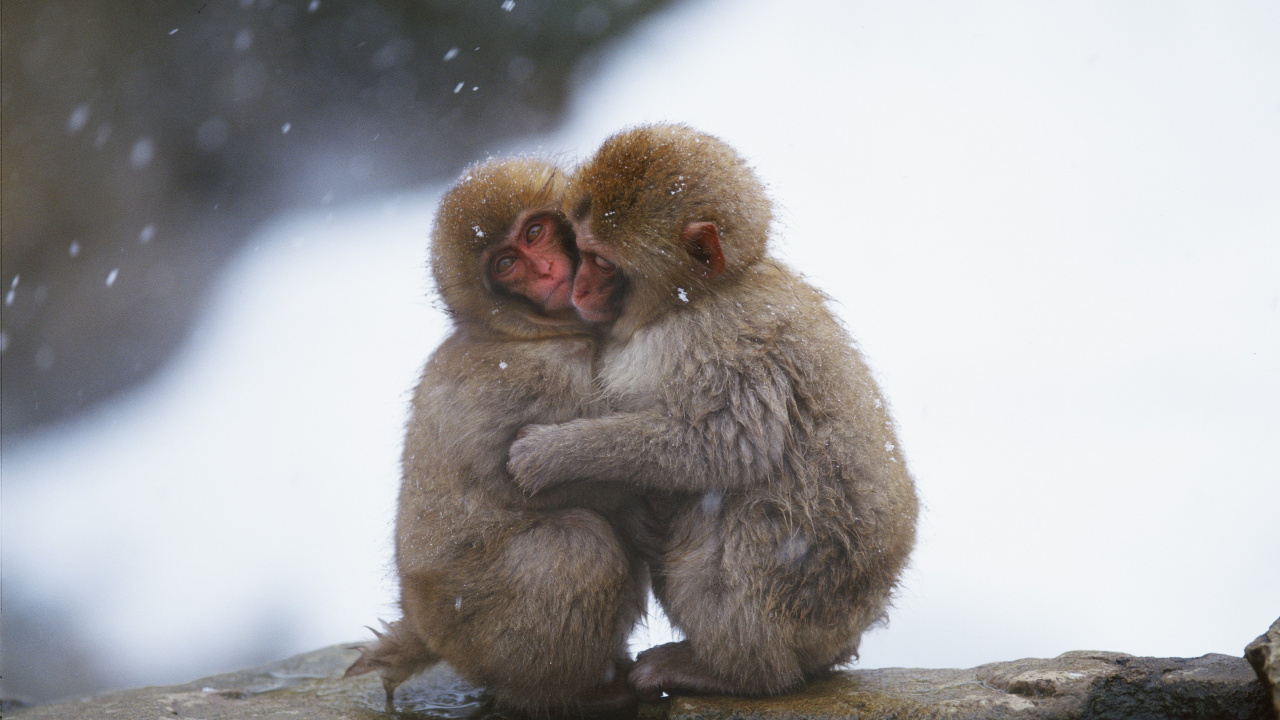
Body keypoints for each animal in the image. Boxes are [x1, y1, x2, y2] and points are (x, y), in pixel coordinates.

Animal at [345, 157, 648, 717]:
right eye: (507, 263)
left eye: (534, 233)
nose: (547, 271)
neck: (521, 331)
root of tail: (423, 626)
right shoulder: (541, 375)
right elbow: (538, 477)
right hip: (479, 627)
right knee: (577, 545)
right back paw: (576, 693)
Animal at [507, 124, 919, 699]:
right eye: (579, 250)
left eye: (602, 262)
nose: (578, 287)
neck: (693, 299)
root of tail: (849, 628)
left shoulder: (723, 345)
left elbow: (727, 446)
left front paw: (554, 454)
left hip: (803, 594)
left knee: (738, 521)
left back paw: (734, 671)